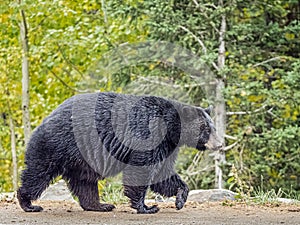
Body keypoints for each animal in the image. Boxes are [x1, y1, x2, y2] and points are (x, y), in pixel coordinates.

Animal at [17, 92, 223, 214]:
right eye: (207, 129)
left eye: (212, 127)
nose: (220, 144)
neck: (170, 130)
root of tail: (46, 118)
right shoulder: (148, 135)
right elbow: (142, 170)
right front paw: (147, 207)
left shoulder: (166, 147)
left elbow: (163, 175)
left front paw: (179, 199)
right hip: (57, 145)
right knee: (38, 173)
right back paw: (28, 203)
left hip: (81, 160)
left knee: (84, 182)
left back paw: (100, 205)